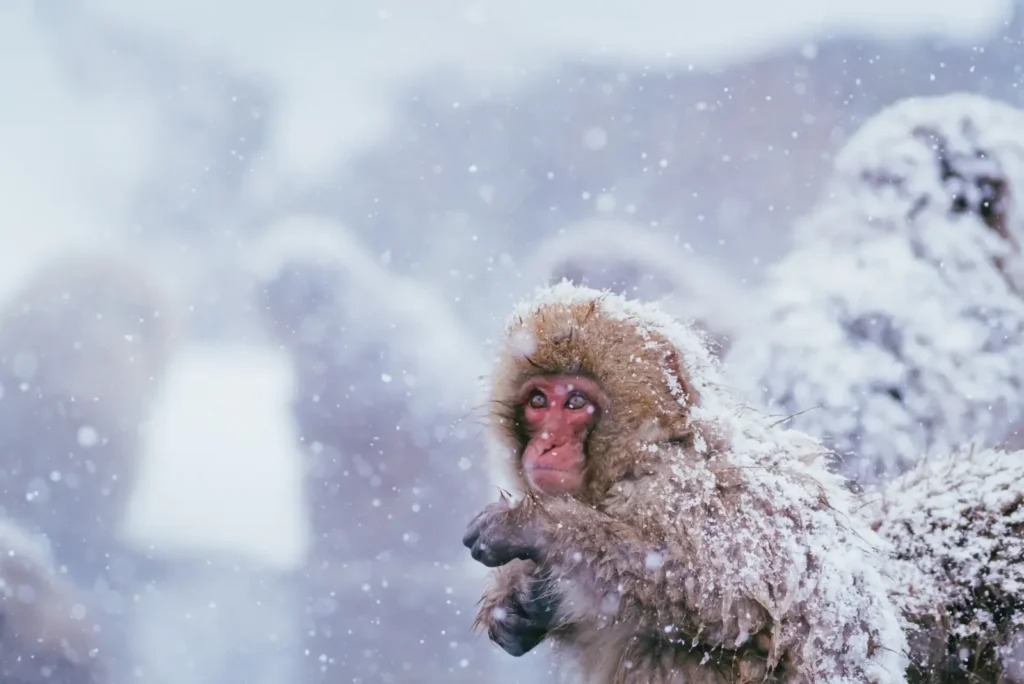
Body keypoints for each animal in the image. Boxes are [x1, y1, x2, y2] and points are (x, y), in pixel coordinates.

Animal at [463, 282, 909, 683]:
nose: (547, 443)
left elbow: (718, 592)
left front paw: (532, 529)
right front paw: (522, 604)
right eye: (538, 402)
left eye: (575, 402)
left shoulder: (686, 489)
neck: (650, 448)